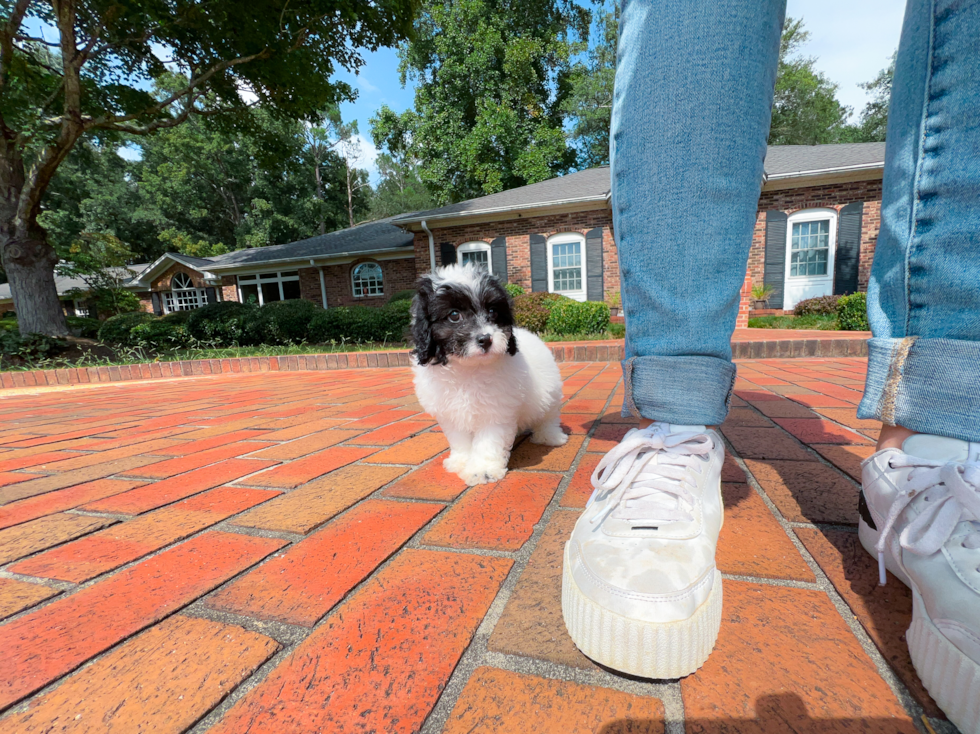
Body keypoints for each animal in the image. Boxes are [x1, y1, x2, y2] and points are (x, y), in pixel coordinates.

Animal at [412, 266, 568, 488]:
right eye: (454, 315)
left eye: (493, 311)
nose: (486, 339)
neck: (468, 369)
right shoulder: (451, 412)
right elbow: (459, 439)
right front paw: (460, 461)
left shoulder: (496, 411)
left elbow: (488, 442)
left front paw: (482, 471)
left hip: (550, 392)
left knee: (548, 416)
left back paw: (550, 436)